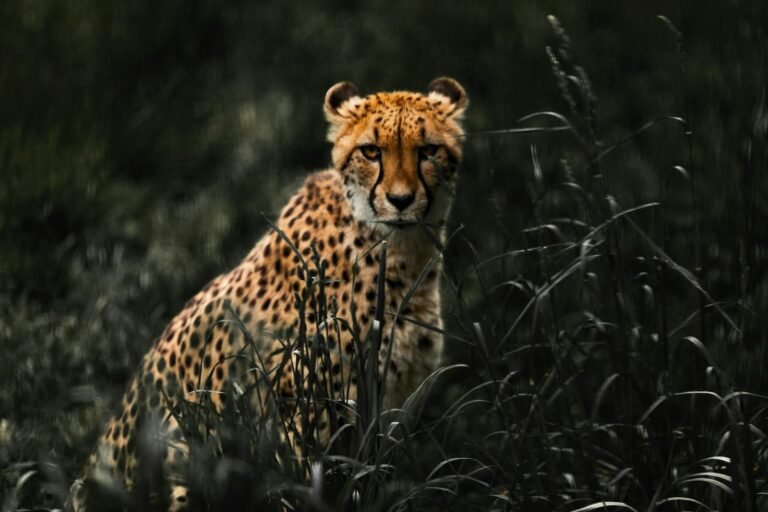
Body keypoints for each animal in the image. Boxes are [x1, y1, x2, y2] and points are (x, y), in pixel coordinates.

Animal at [70, 77, 467, 511]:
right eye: (371, 151)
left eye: (428, 150)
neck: (400, 252)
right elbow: (314, 483)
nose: (400, 200)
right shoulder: (304, 410)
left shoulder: (394, 403)